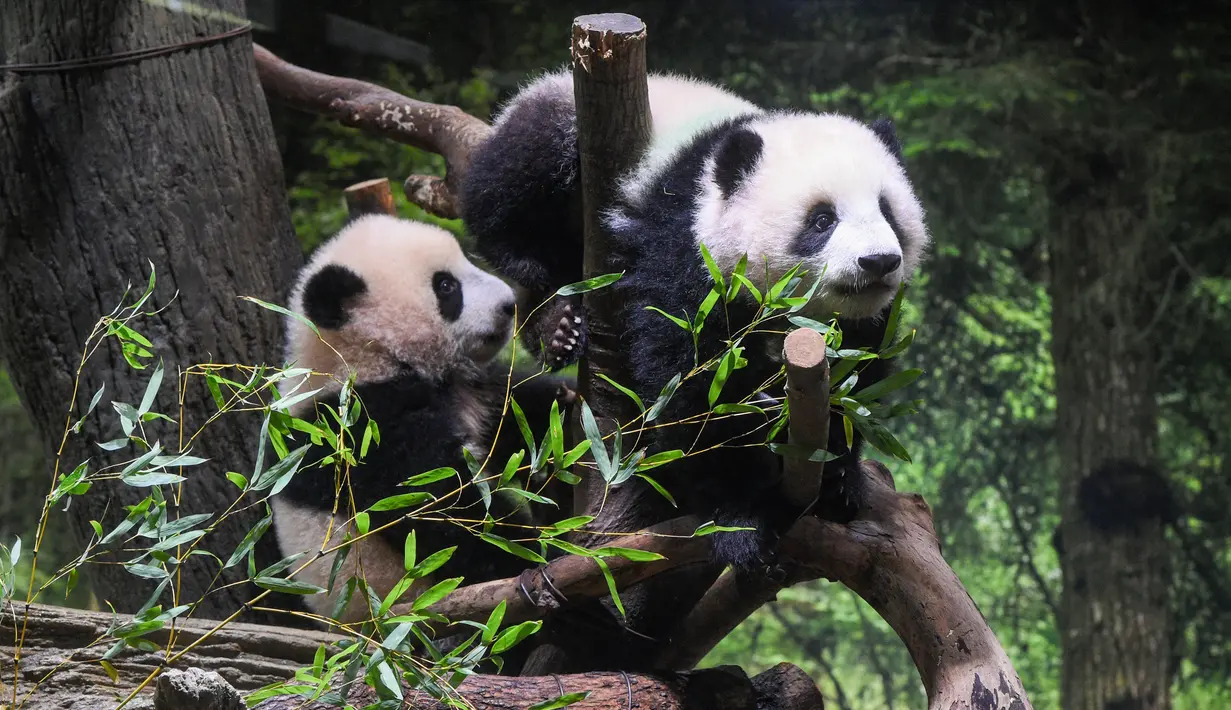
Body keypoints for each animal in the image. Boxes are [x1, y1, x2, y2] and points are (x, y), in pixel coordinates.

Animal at [270, 213, 575, 626]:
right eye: (446, 286)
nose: (509, 305)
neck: (366, 357)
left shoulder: (470, 390)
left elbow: (516, 416)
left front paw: (565, 346)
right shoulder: (364, 430)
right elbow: (443, 512)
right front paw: (535, 560)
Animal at [461, 69, 930, 578]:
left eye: (888, 211)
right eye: (822, 220)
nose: (878, 262)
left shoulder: (862, 323)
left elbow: (858, 375)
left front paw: (838, 479)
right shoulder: (684, 244)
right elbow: (689, 382)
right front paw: (741, 516)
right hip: (558, 119)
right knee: (513, 178)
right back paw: (548, 304)